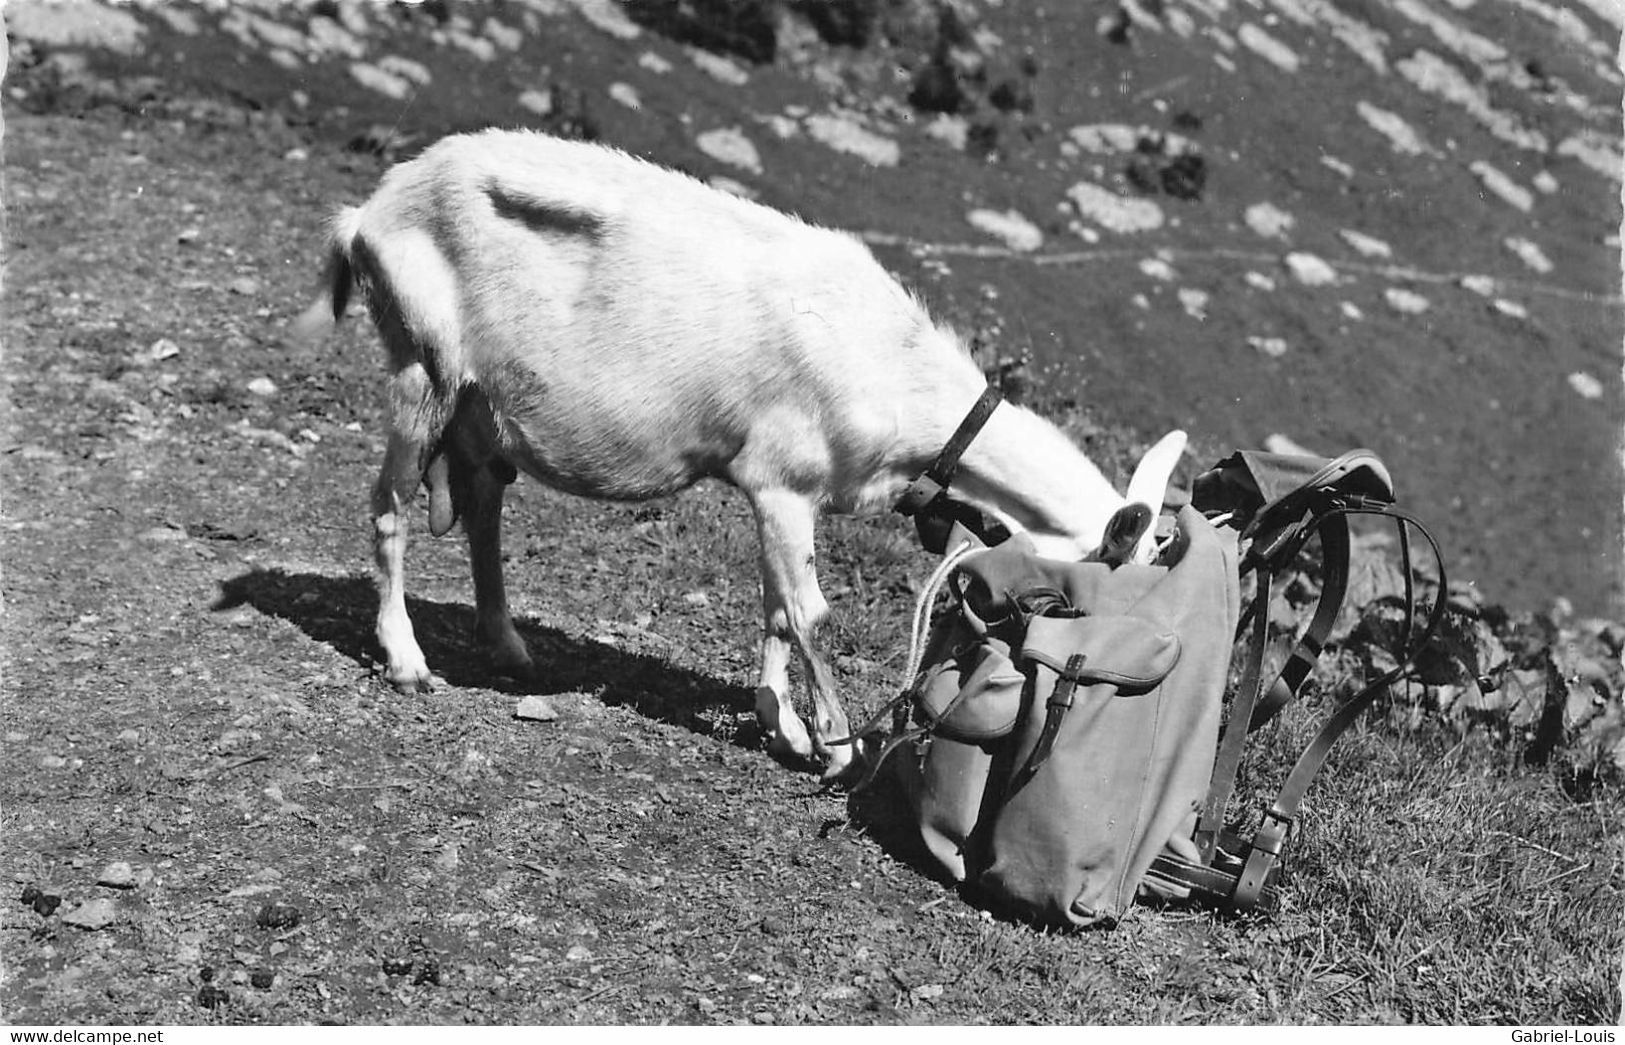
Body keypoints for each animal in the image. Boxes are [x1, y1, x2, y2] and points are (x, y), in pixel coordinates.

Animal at [295, 130, 1183, 780]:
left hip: (481, 406)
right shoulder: (781, 478)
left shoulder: (782, 492)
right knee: (389, 504)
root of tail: (369, 209)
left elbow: (776, 608)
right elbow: (807, 611)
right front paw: (832, 745)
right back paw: (406, 657)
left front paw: (778, 720)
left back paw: (505, 641)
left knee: (482, 506)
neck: (898, 371)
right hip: (421, 364)